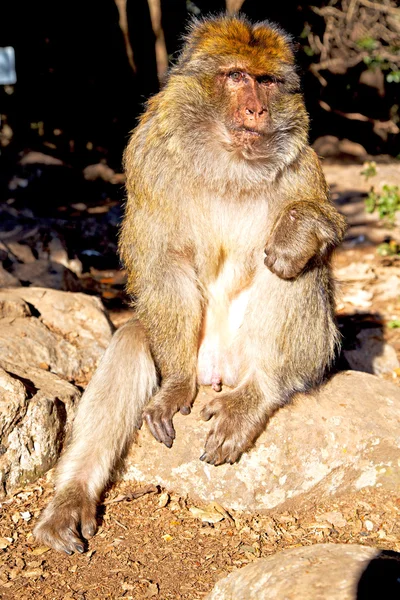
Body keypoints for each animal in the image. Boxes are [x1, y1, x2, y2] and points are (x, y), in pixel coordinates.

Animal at [35, 14, 346, 556]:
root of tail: (220, 370)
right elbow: (164, 264)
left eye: (268, 82)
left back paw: (256, 392)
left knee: (293, 270)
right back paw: (71, 499)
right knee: (133, 338)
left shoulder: (304, 164)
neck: (227, 162)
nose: (257, 108)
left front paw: (297, 230)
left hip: (265, 357)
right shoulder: (149, 158)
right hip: (195, 351)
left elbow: (318, 230)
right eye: (237, 76)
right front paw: (175, 385)